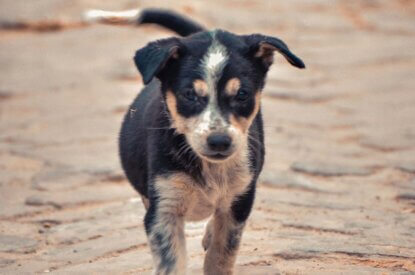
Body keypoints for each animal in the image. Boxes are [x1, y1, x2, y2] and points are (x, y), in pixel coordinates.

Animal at [86, 8, 306, 275]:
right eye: (189, 94)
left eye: (242, 94)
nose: (219, 141)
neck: (208, 167)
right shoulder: (164, 210)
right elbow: (171, 262)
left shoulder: (239, 204)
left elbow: (220, 257)